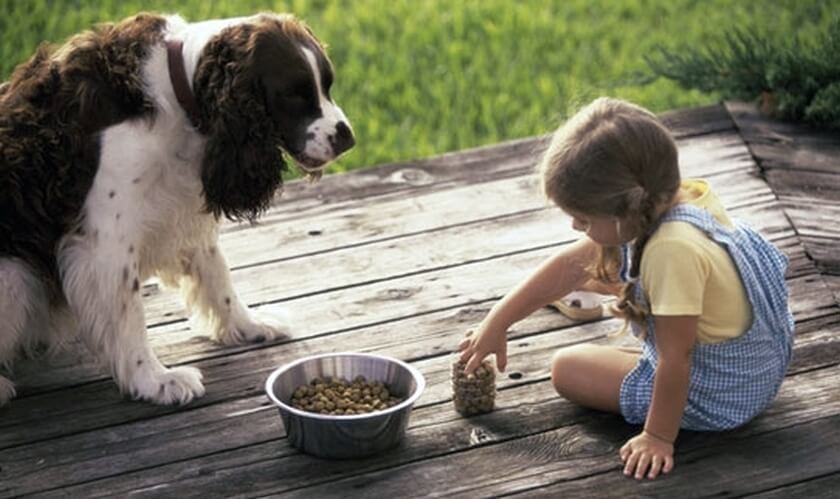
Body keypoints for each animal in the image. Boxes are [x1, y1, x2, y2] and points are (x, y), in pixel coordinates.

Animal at [0, 13, 354, 408]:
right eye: (294, 94)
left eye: (327, 86)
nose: (348, 137)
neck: (175, 91)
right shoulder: (104, 240)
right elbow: (129, 314)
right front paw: (154, 380)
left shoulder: (180, 209)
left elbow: (218, 274)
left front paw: (248, 326)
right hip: (15, 275)